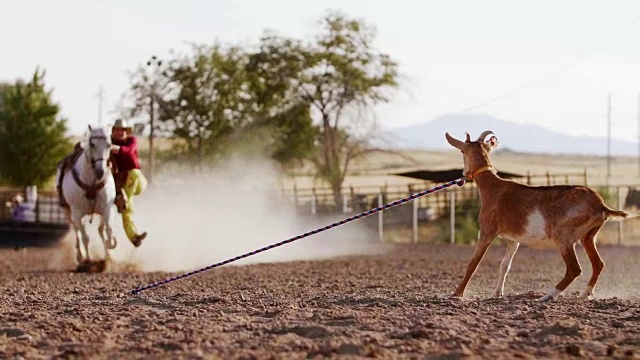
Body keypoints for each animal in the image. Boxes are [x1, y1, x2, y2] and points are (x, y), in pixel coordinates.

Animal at [56, 125, 117, 266]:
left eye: (109, 144)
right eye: (92, 144)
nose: (100, 171)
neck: (91, 182)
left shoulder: (107, 209)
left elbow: (108, 230)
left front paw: (110, 247)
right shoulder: (77, 214)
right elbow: (85, 238)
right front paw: (88, 260)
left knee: (100, 229)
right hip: (69, 213)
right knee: (77, 231)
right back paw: (80, 256)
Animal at [444, 130, 636, 300]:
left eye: (462, 151)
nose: (463, 175)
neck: (493, 187)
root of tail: (600, 205)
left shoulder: (487, 231)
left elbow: (473, 263)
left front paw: (456, 294)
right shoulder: (513, 239)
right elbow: (505, 265)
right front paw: (497, 294)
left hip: (564, 237)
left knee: (574, 269)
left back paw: (547, 297)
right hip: (588, 236)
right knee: (598, 264)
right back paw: (584, 294)